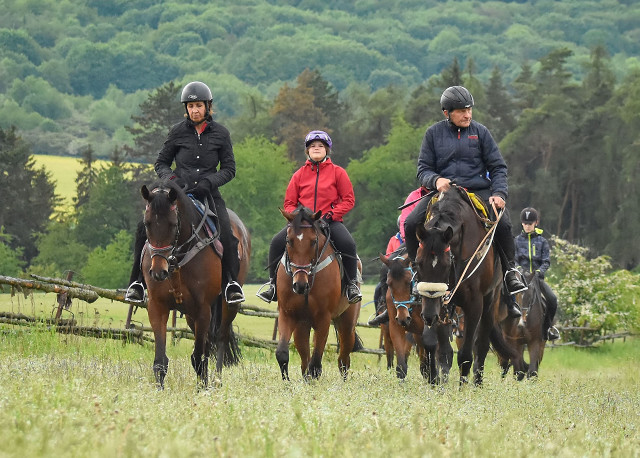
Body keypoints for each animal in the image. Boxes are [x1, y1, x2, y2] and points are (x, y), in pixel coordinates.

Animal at [141, 181, 251, 388]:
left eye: (173, 224)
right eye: (147, 223)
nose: (159, 271)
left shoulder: (203, 309)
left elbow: (198, 356)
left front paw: (202, 389)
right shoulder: (157, 307)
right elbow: (160, 361)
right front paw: (159, 391)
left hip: (226, 307)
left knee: (221, 338)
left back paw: (216, 380)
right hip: (191, 315)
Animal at [276, 206, 362, 382]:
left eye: (313, 241)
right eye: (288, 241)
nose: (300, 285)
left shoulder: (323, 318)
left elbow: (315, 364)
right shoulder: (287, 314)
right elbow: (282, 354)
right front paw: (287, 383)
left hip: (346, 323)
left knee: (343, 359)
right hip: (302, 324)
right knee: (304, 358)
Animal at [380, 252, 456, 382]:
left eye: (407, 282)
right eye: (389, 283)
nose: (403, 318)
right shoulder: (396, 327)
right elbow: (401, 367)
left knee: (445, 354)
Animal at [416, 184, 520, 384]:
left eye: (446, 264)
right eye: (417, 262)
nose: (429, 316)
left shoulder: (474, 305)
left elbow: (465, 354)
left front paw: (462, 388)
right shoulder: (437, 305)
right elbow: (437, 349)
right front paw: (436, 383)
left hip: (490, 302)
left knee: (482, 346)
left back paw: (477, 383)